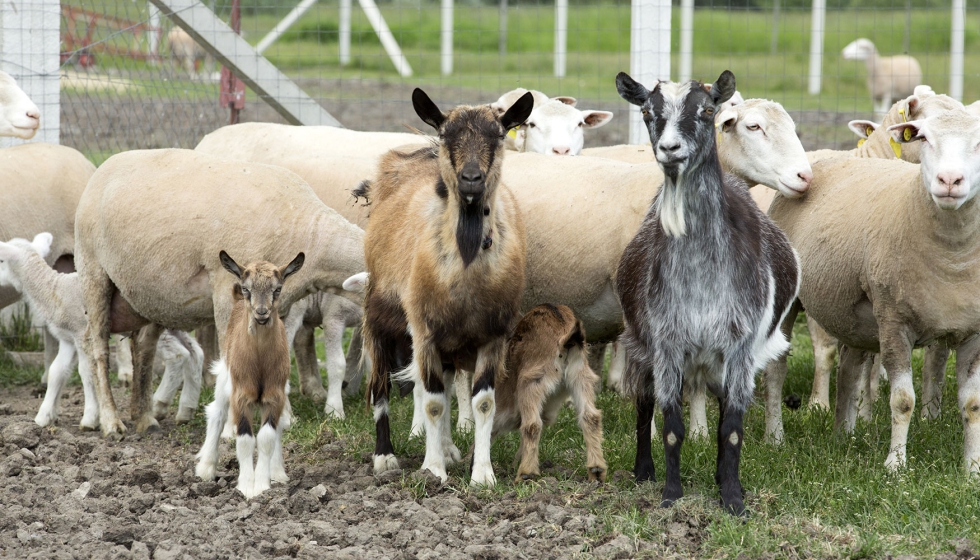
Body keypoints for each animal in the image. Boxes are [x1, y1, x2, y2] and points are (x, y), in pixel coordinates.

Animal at [72, 147, 364, 436]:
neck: (311, 235)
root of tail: (105, 165)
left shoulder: (279, 305)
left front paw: (280, 418)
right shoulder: (227, 288)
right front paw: (233, 428)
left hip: (149, 293)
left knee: (143, 345)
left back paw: (145, 418)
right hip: (93, 270)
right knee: (98, 348)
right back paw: (110, 421)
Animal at [197, 252, 304, 496]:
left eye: (277, 289)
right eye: (247, 288)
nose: (261, 313)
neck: (259, 362)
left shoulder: (275, 395)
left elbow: (267, 437)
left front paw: (262, 485)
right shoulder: (241, 395)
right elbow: (245, 439)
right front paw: (246, 486)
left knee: (279, 425)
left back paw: (278, 471)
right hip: (225, 376)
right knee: (217, 413)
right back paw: (206, 468)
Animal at [358, 87, 532, 486]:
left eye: (498, 135)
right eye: (447, 135)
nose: (471, 179)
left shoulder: (492, 336)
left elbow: (482, 402)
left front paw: (481, 474)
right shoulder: (424, 332)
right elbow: (434, 402)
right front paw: (433, 469)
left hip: (450, 341)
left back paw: (451, 448)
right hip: (378, 315)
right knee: (381, 386)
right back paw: (385, 457)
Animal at [768, 106, 980, 472]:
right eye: (924, 138)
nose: (950, 181)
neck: (953, 258)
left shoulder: (973, 331)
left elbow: (972, 404)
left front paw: (971, 470)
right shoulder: (894, 320)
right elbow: (903, 400)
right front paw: (895, 465)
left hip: (853, 314)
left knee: (850, 367)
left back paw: (844, 435)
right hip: (789, 299)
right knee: (776, 368)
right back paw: (775, 437)